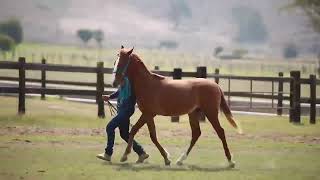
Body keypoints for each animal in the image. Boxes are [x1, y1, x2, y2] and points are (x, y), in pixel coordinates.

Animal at [111, 46, 241, 167]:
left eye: (122, 62)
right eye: (115, 61)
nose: (115, 82)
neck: (147, 84)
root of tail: (216, 86)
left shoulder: (148, 114)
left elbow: (142, 133)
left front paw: (125, 156)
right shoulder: (148, 115)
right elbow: (146, 134)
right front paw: (166, 158)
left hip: (211, 113)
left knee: (220, 132)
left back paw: (231, 161)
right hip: (193, 114)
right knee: (196, 134)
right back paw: (180, 160)